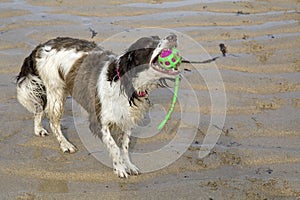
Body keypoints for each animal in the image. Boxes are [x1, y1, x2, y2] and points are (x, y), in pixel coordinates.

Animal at [16, 33, 179, 177]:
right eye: (150, 44)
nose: (173, 36)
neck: (125, 83)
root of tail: (41, 46)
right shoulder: (99, 121)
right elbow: (114, 147)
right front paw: (120, 168)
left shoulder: (127, 119)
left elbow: (124, 147)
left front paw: (129, 165)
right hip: (56, 92)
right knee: (53, 122)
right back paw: (65, 144)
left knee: (39, 108)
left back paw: (38, 129)